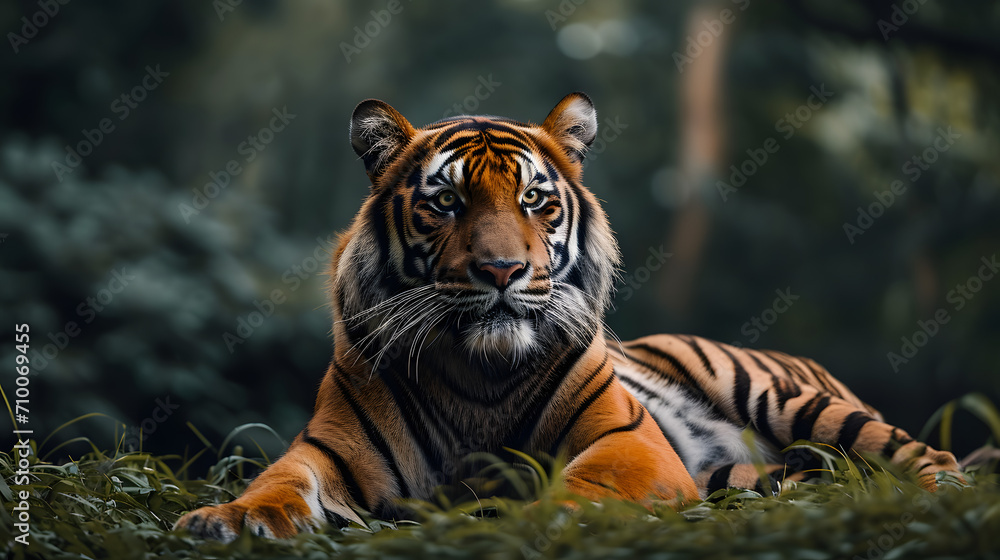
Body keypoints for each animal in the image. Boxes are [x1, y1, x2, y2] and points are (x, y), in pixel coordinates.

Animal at [174, 93, 963, 541]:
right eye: (446, 202)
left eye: (535, 201)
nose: (501, 271)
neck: (477, 376)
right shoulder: (326, 450)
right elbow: (276, 484)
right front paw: (223, 521)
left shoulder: (630, 445)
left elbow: (580, 489)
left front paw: (510, 522)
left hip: (779, 394)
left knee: (932, 461)